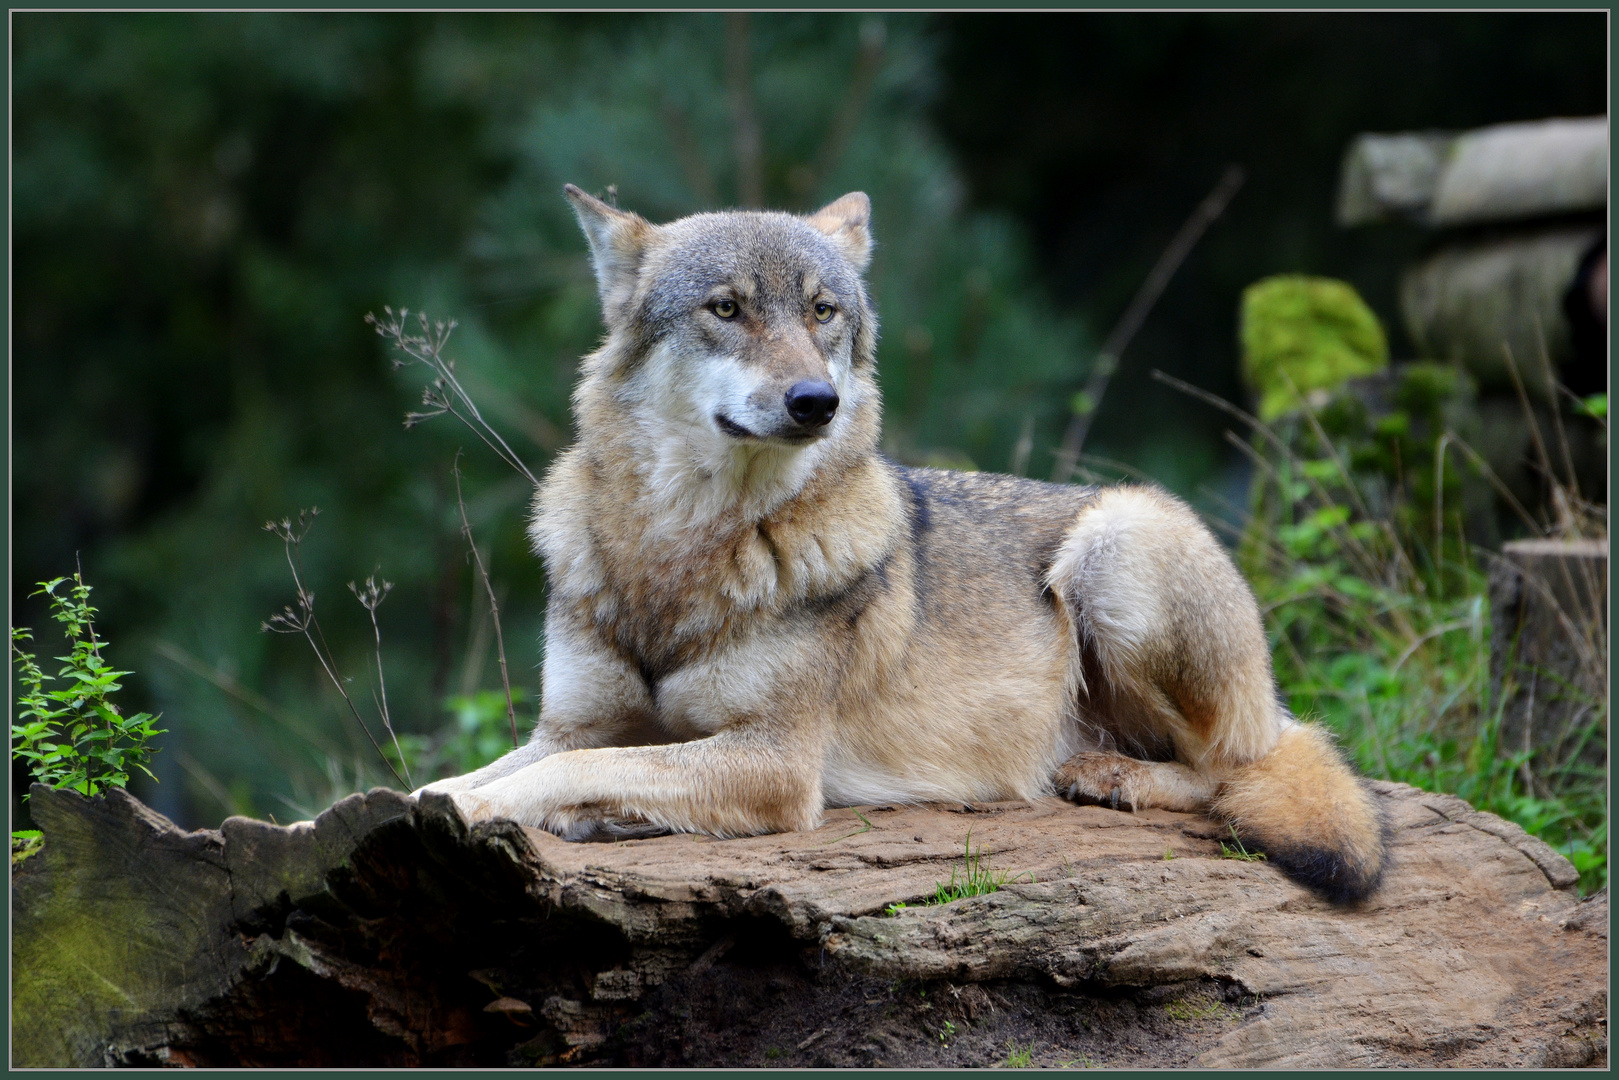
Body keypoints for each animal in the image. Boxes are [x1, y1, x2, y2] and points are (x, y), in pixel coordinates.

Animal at [420, 183, 1392, 906]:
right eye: (726, 309)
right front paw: (432, 801)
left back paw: (1111, 776)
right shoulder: (569, 723)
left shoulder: (775, 763)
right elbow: (534, 762)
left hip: (1116, 554)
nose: (815, 401)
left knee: (1234, 766)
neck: (685, 551)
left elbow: (560, 772)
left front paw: (483, 809)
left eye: (822, 313)